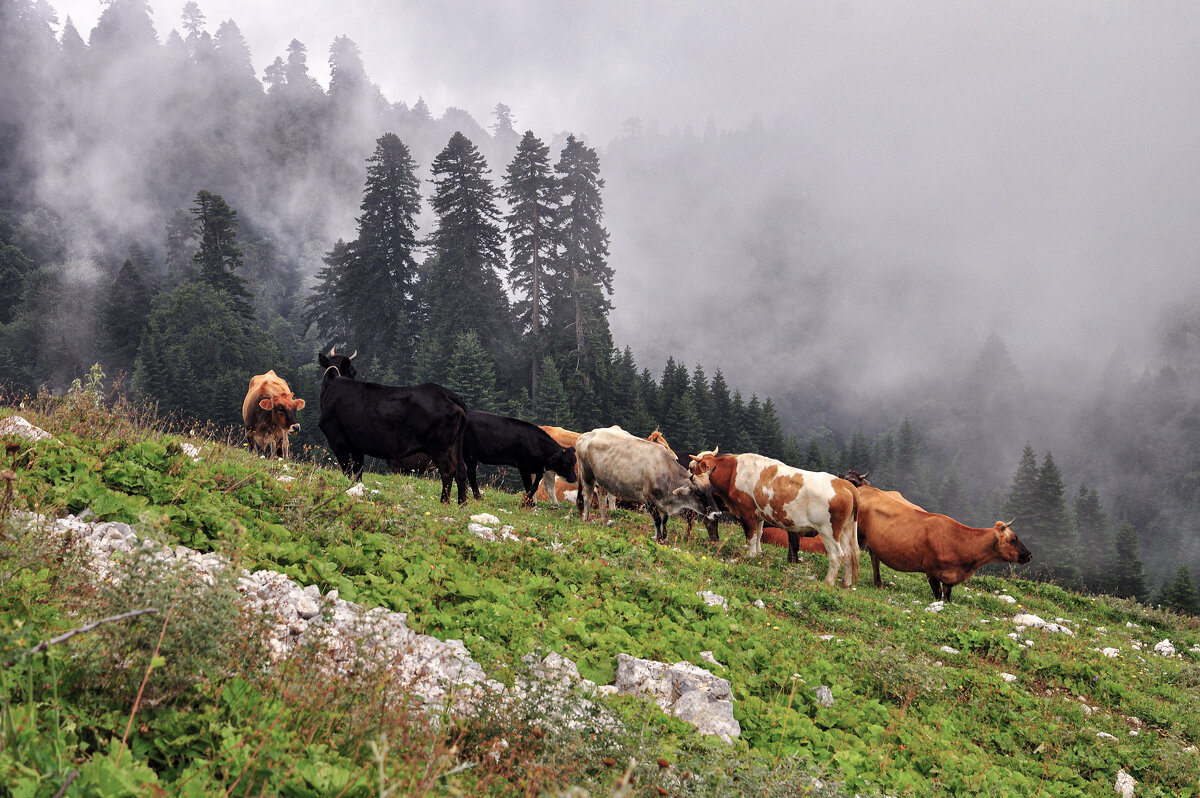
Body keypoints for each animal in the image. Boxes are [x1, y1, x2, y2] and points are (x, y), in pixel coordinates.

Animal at [319, 350, 468, 504]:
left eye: (353, 371)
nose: (354, 372)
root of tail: (447, 393)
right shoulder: (357, 447)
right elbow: (358, 472)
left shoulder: (337, 442)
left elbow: (347, 471)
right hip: (454, 445)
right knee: (461, 470)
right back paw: (461, 504)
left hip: (439, 446)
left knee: (447, 472)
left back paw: (444, 502)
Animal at [573, 422, 715, 542]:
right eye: (699, 493)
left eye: (711, 491)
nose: (716, 513)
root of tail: (586, 435)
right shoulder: (649, 500)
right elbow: (657, 521)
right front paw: (658, 538)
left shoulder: (662, 503)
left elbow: (664, 521)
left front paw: (663, 539)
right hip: (587, 476)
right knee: (587, 497)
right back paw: (586, 519)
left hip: (602, 480)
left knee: (602, 498)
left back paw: (604, 521)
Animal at [686, 448, 864, 585]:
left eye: (692, 468)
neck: (732, 473)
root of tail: (844, 484)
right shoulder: (758, 516)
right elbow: (758, 536)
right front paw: (758, 555)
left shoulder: (747, 513)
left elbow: (751, 537)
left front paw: (750, 556)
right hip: (846, 529)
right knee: (849, 554)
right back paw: (846, 583)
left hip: (828, 531)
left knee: (837, 555)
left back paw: (828, 582)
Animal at [854, 482, 1032, 600]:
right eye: (1014, 539)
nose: (1030, 555)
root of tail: (863, 488)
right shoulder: (931, 571)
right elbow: (938, 595)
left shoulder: (949, 579)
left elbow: (946, 598)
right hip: (856, 534)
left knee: (874, 558)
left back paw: (878, 583)